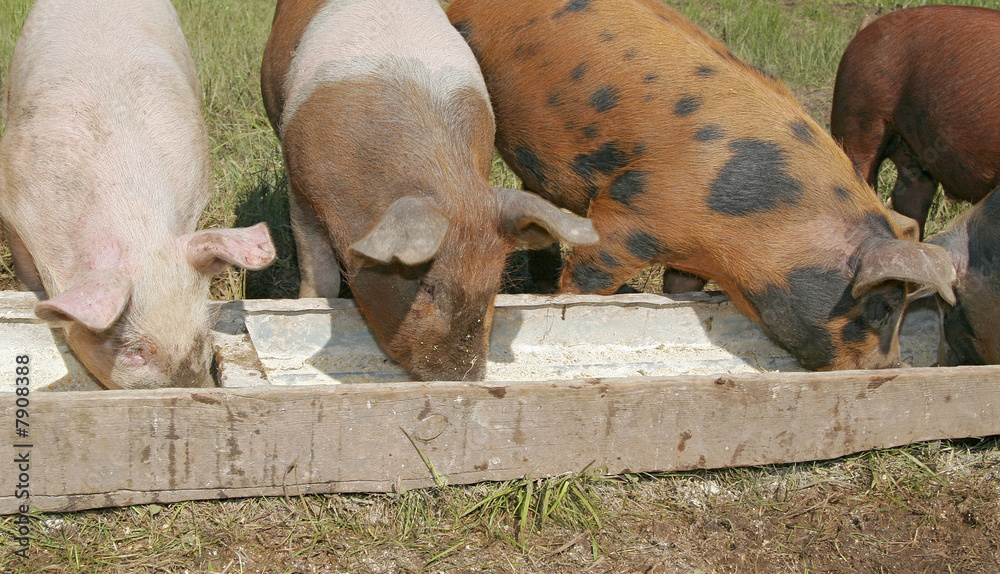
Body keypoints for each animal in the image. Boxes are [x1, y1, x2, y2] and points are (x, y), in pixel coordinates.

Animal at [260, 0, 598, 381]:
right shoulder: (299, 188)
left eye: (494, 285)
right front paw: (309, 303)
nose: (463, 377)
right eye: (426, 286)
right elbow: (320, 275)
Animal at [447, 0, 957, 371]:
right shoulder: (628, 213)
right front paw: (566, 303)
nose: (887, 367)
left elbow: (678, 289)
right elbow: (589, 281)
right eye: (885, 308)